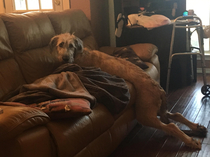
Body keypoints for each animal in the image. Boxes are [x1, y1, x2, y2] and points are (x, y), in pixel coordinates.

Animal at [50, 32, 208, 149]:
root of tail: (159, 89)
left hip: (144, 114)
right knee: (175, 115)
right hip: (153, 109)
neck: (80, 54)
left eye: (71, 46)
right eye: (61, 44)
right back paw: (197, 128)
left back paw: (190, 141)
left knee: (171, 126)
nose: (65, 59)